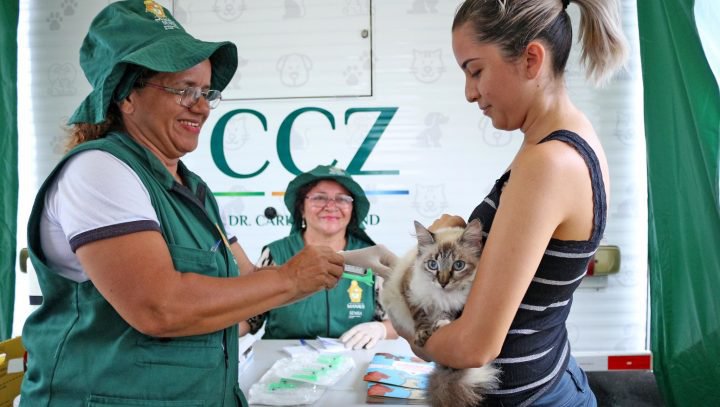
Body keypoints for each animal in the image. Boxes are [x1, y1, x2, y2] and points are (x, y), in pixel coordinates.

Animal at [380, 220, 498, 407]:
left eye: (458, 265)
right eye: (432, 265)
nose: (443, 282)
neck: (443, 296)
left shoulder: (455, 306)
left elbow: (446, 315)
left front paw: (441, 324)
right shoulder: (410, 292)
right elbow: (420, 317)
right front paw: (423, 334)